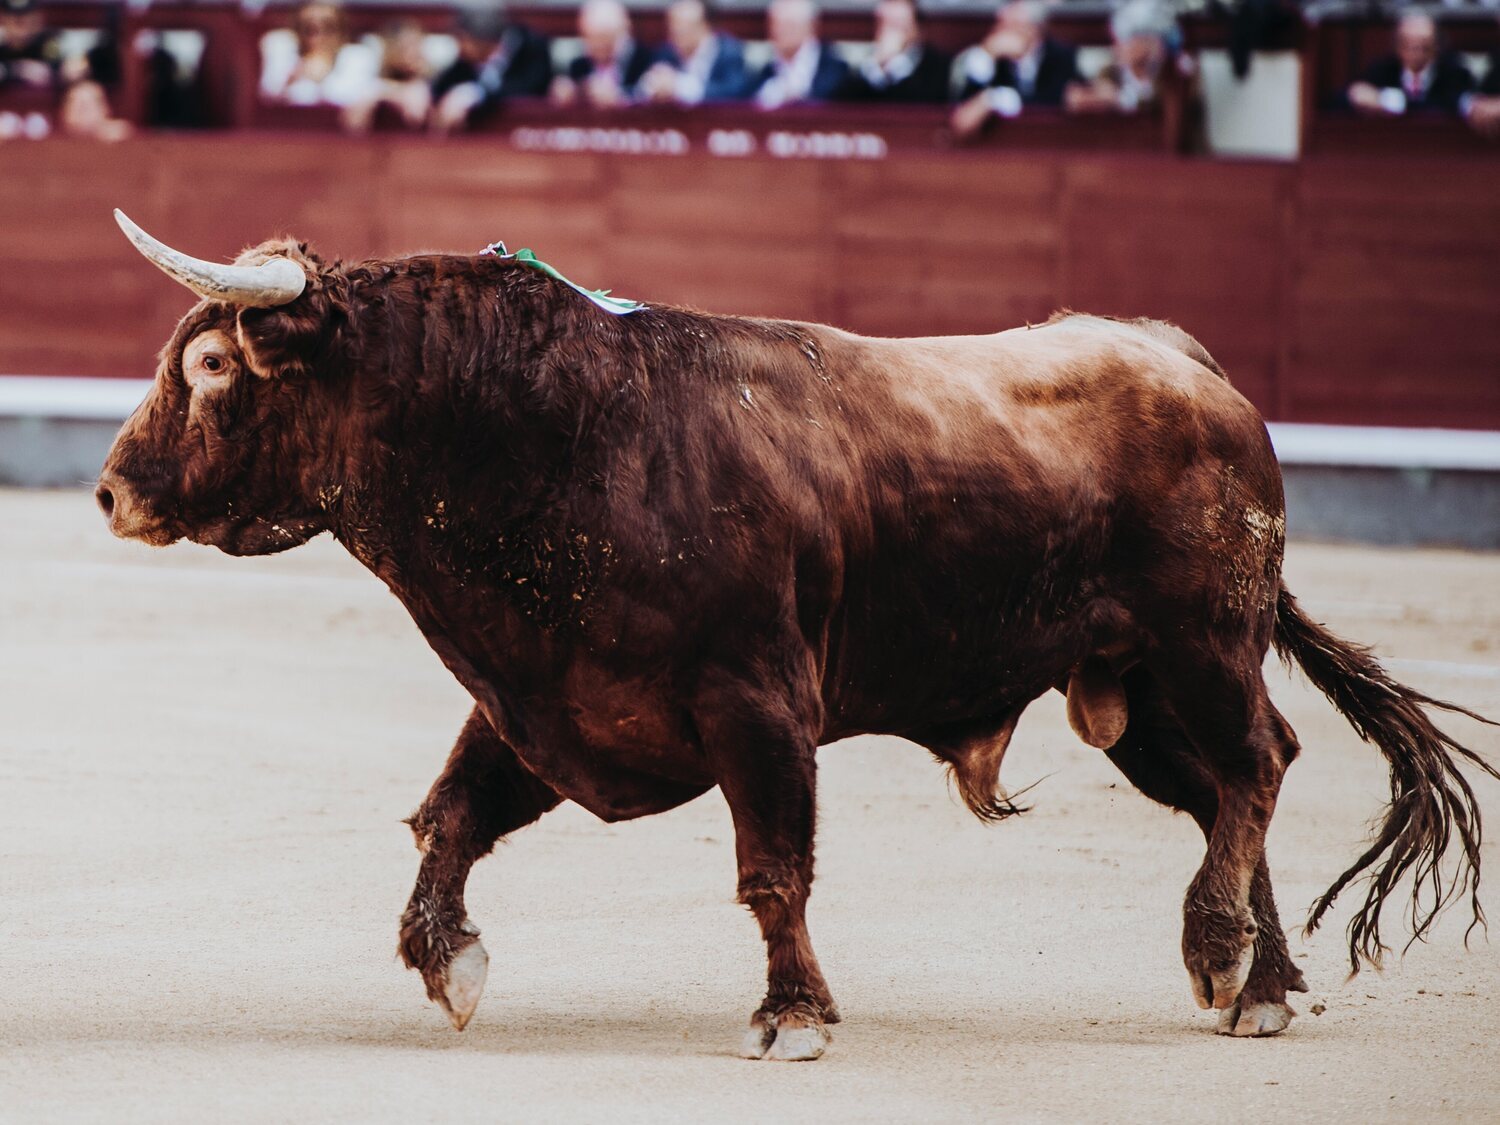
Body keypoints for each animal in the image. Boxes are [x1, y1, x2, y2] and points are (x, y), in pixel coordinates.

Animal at [99, 213, 1494, 1068]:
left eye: (214, 364)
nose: (112, 492)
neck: (553, 429)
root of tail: (1187, 363)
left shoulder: (757, 702)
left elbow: (774, 868)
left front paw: (793, 1017)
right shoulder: (546, 697)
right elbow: (450, 815)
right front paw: (451, 965)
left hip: (1202, 644)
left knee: (1257, 765)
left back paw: (1219, 958)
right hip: (1133, 690)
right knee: (1224, 793)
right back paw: (1264, 985)